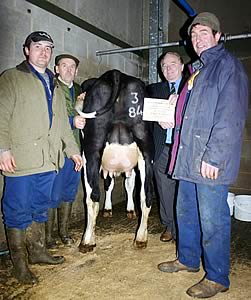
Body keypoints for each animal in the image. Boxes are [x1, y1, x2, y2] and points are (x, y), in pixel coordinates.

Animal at [76, 68, 154, 253]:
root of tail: (117, 73)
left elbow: (109, 185)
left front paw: (109, 208)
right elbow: (128, 185)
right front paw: (129, 210)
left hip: (91, 150)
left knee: (92, 196)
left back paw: (87, 241)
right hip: (146, 147)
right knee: (146, 195)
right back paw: (141, 238)